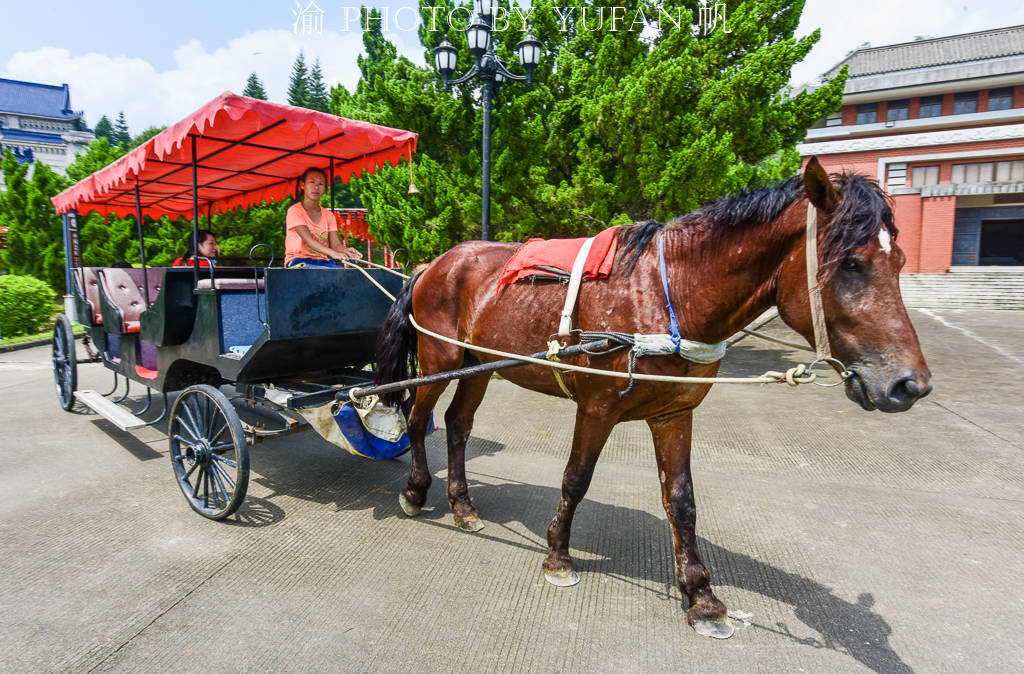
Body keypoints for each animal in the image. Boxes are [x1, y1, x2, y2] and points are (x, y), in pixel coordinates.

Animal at [374, 155, 929, 635]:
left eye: (900, 260)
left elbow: (681, 501)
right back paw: (416, 491)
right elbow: (575, 480)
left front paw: (700, 595)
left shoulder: (674, 413)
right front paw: (558, 556)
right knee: (420, 421)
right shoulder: (596, 407)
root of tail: (435, 262)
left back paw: (463, 505)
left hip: (478, 367)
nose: (911, 384)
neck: (668, 295)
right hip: (440, 360)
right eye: (852, 263)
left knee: (459, 425)